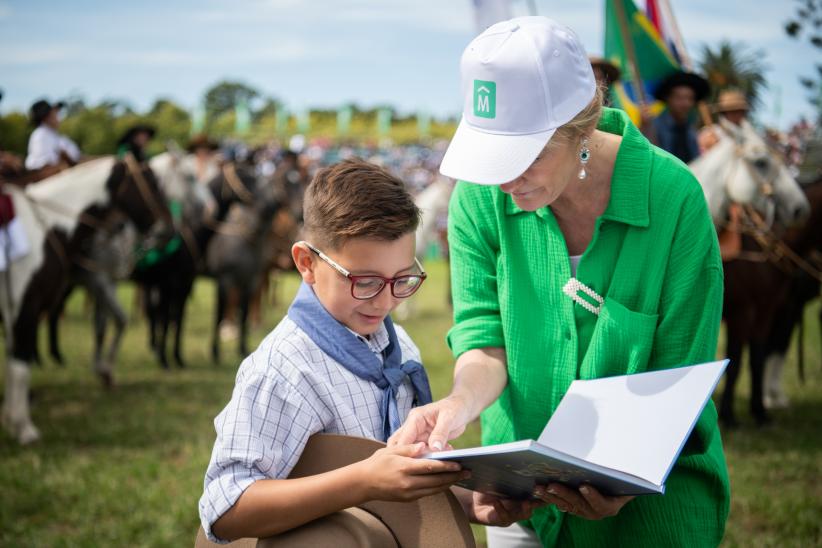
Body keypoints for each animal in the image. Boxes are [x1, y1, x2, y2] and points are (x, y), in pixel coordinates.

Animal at [0, 155, 172, 446]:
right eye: (150, 183)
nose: (167, 230)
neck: (46, 227)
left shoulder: (16, 311)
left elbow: (14, 364)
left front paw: (12, 418)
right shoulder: (26, 306)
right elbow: (21, 365)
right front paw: (24, 427)